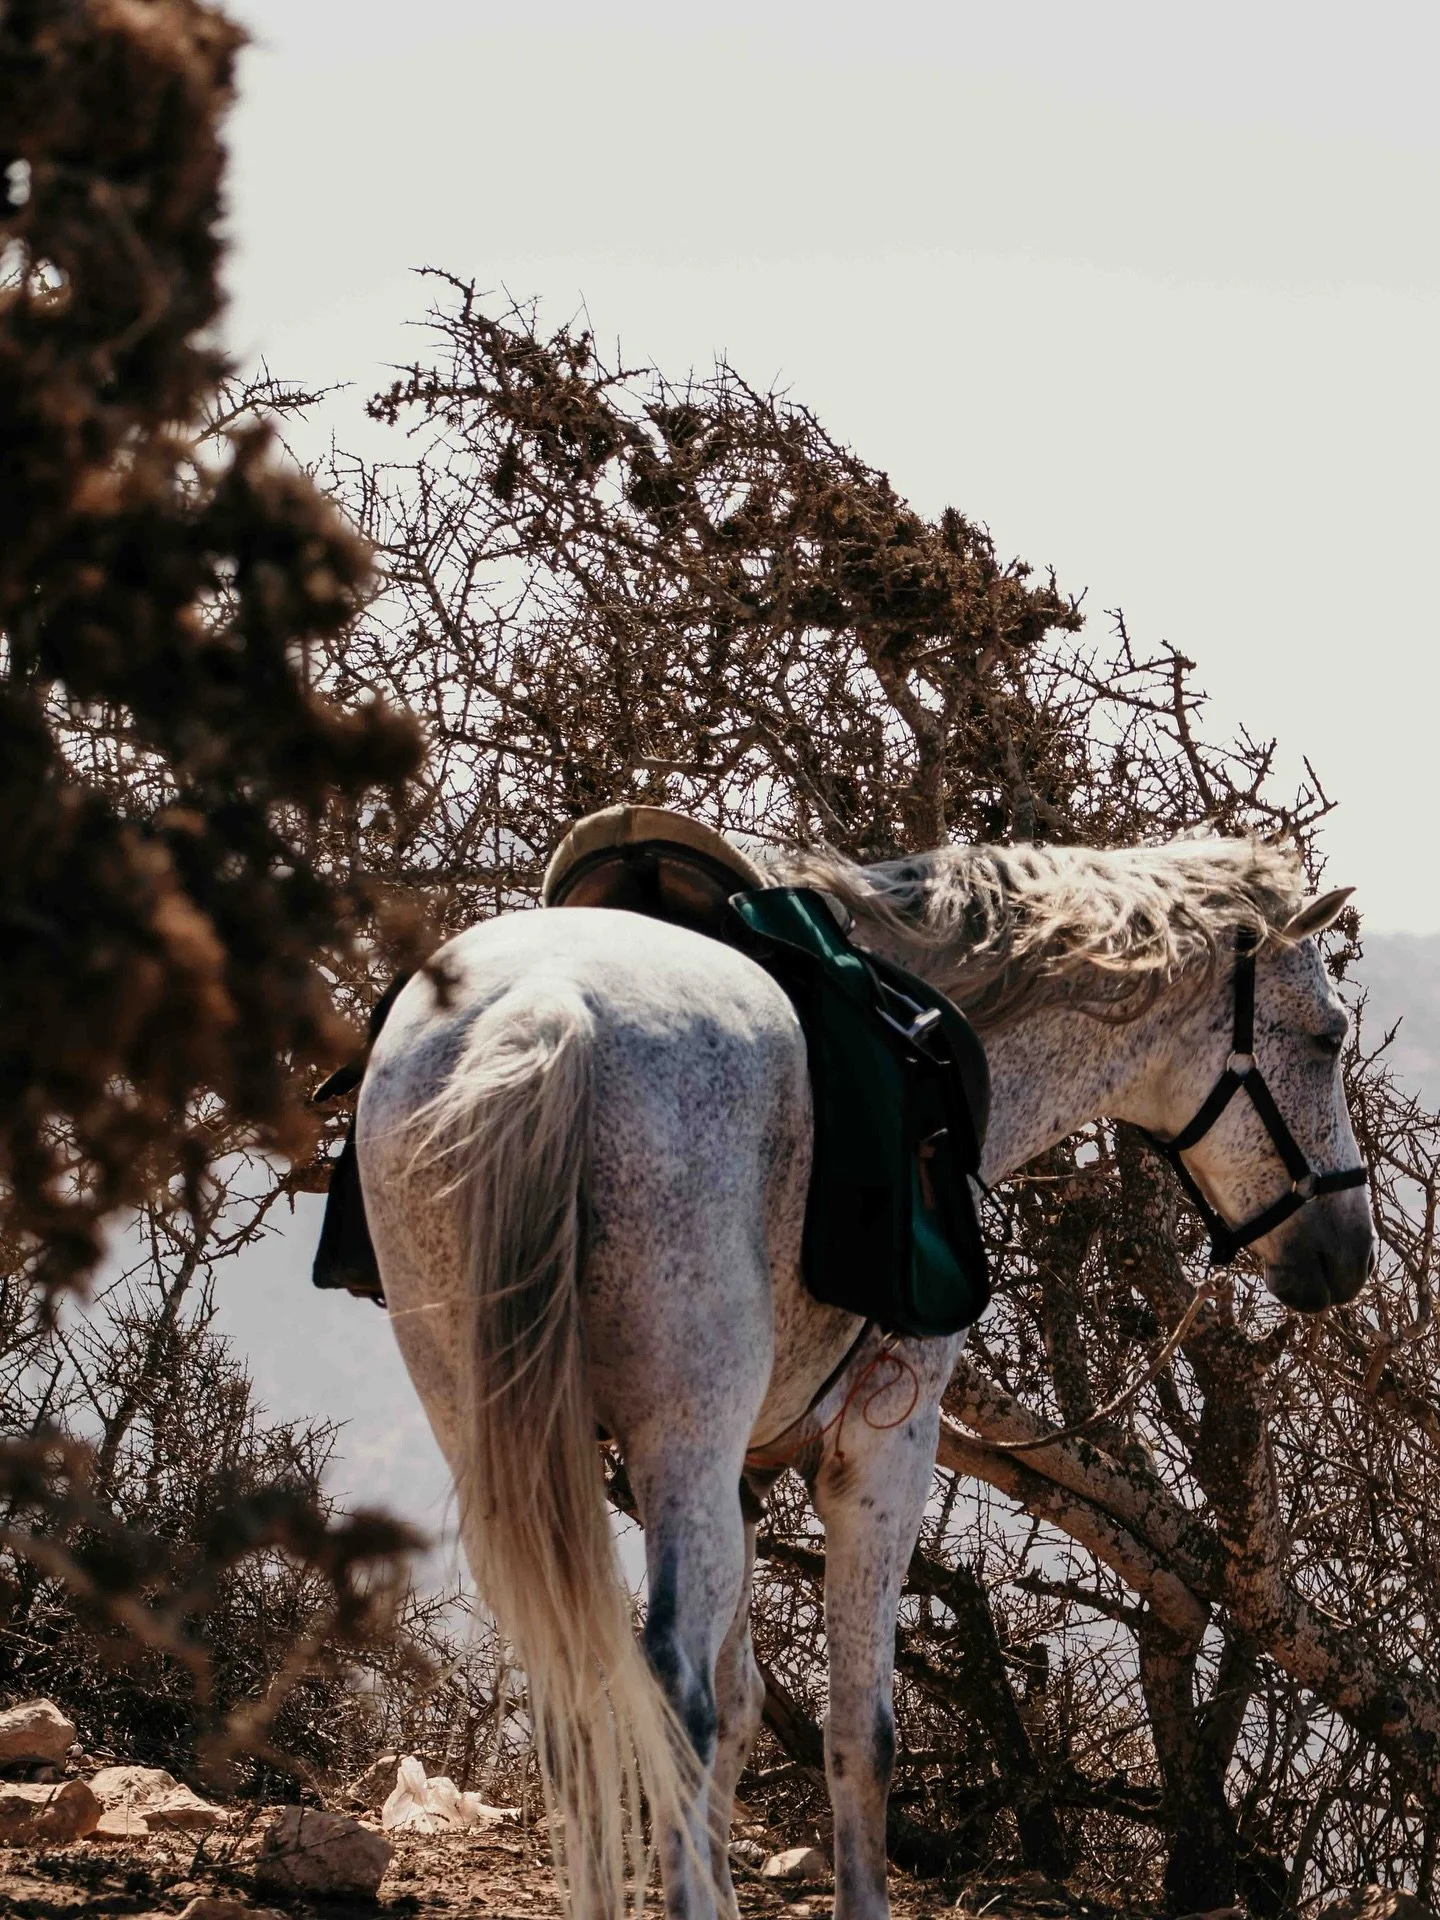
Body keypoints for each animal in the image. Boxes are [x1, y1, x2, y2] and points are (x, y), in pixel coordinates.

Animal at [354, 832, 1374, 1920]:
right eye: (1326, 1037)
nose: (1346, 1252)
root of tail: (548, 1015)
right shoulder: (882, 1451)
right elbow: (858, 1737)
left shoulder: (745, 1476)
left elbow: (743, 1706)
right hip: (680, 1435)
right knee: (671, 1689)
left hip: (497, 1433)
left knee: (573, 1691)